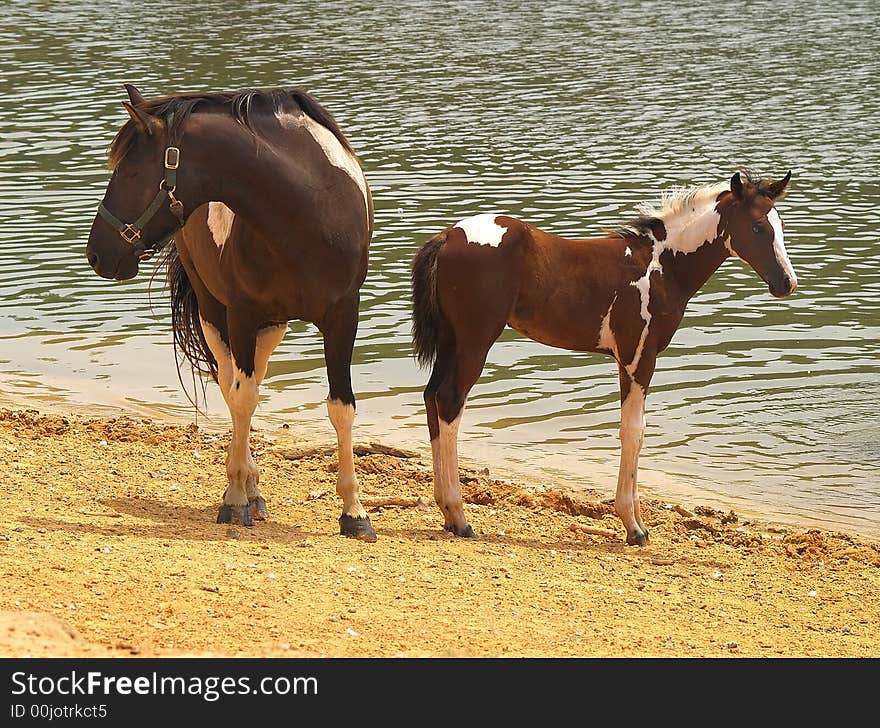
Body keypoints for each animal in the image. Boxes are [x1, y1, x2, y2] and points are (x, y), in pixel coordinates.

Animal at [86, 84, 378, 540]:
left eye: (130, 173)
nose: (96, 254)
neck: (309, 211)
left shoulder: (343, 316)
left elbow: (341, 407)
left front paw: (354, 512)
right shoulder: (240, 314)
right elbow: (242, 399)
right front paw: (236, 498)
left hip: (272, 326)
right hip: (213, 312)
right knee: (233, 385)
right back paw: (247, 488)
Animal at [412, 171, 796, 544]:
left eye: (780, 224)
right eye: (757, 227)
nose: (786, 283)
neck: (662, 266)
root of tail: (448, 236)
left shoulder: (628, 359)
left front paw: (638, 523)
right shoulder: (638, 357)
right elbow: (633, 432)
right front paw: (634, 527)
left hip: (451, 340)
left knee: (431, 397)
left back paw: (446, 513)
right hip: (474, 341)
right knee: (450, 401)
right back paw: (460, 518)